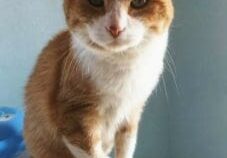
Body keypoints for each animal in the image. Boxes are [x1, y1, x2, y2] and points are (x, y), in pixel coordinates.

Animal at [24, 0, 174, 158]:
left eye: (139, 2)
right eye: (95, 1)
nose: (115, 28)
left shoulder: (131, 114)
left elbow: (126, 148)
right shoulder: (74, 117)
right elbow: (94, 152)